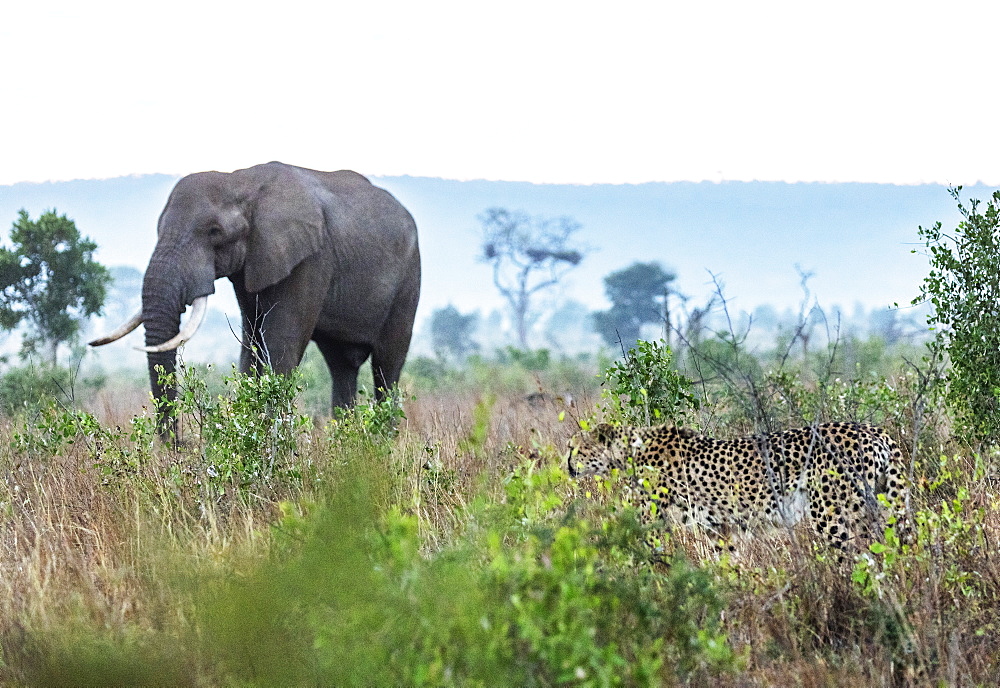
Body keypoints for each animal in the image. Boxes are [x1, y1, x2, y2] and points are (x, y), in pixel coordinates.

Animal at [90, 161, 422, 430]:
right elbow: (252, 343)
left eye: (214, 232)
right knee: (342, 367)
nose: (178, 445)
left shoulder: (312, 257)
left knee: (387, 365)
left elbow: (280, 343)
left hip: (409, 278)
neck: (241, 181)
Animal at [568, 422, 912, 552]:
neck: (629, 453)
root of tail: (874, 430)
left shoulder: (652, 523)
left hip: (835, 514)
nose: (567, 464)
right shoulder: (720, 528)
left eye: (574, 448)